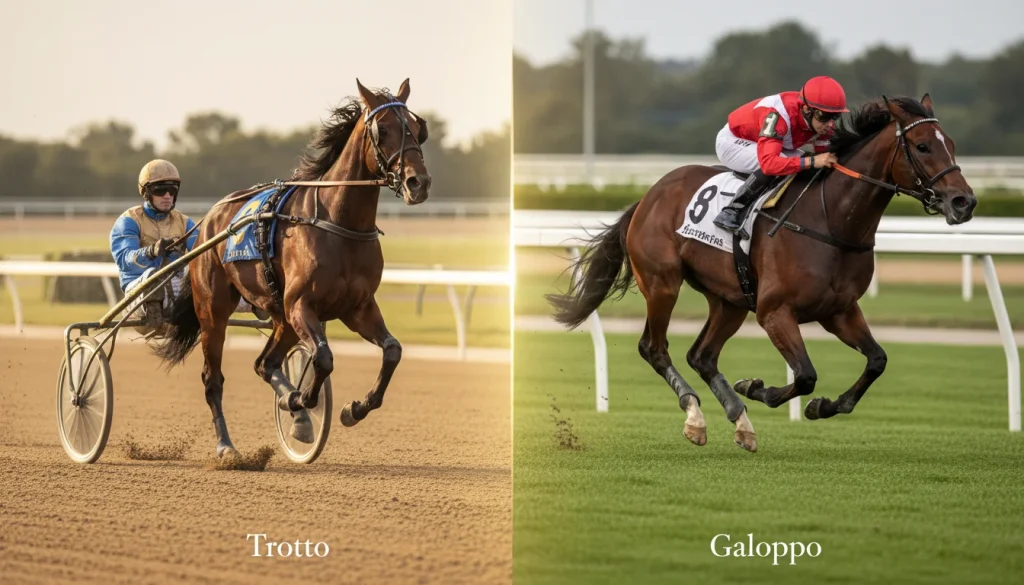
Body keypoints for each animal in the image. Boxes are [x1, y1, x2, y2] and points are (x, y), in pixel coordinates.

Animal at [152, 79, 431, 458]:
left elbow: (392, 351)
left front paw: (352, 408)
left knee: (264, 363)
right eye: (383, 128)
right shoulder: (301, 305)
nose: (419, 183)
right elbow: (324, 358)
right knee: (213, 379)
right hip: (214, 310)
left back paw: (291, 409)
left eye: (417, 129)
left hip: (280, 316)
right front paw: (302, 399)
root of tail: (211, 218)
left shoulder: (357, 308)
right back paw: (227, 445)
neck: (337, 223)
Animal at [546, 94, 976, 453]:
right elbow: (805, 374)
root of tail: (647, 197)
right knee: (654, 347)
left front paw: (823, 406)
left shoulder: (839, 310)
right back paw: (695, 417)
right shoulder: (775, 311)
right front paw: (758, 389)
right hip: (662, 282)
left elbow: (877, 360)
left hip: (730, 299)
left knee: (702, 355)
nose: (964, 202)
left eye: (952, 144)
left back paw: (741, 423)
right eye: (922, 146)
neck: (831, 220)